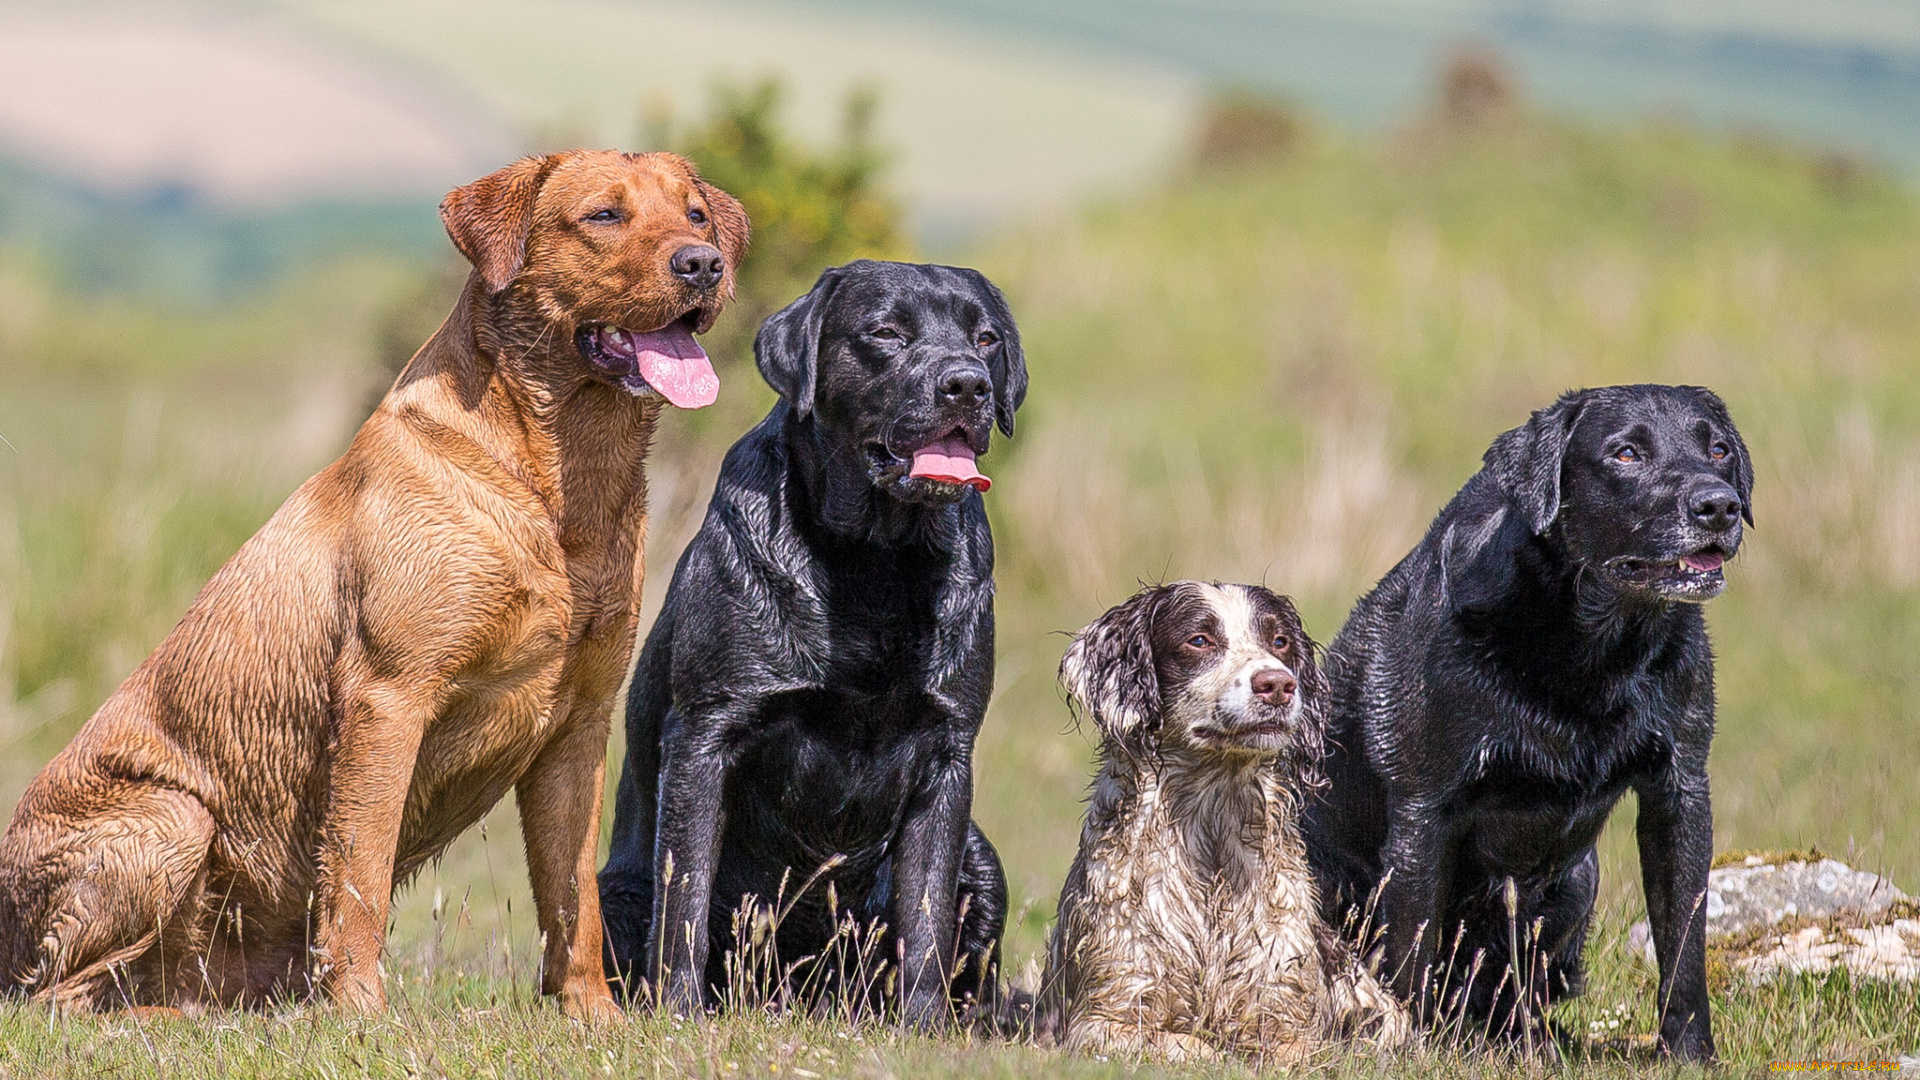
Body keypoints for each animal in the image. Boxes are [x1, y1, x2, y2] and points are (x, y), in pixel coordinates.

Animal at [0, 151, 744, 1014]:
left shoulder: (580, 727)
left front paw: (594, 1016)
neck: (559, 489)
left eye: (696, 214)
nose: (704, 264)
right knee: (59, 994)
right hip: (173, 818)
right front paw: (360, 1012)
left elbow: (574, 901)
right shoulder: (387, 699)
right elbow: (360, 876)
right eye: (604, 216)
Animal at [599, 255, 1029, 1022]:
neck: (875, 563)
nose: (967, 384)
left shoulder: (949, 752)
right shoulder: (705, 733)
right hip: (610, 891)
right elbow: (686, 898)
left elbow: (926, 916)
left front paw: (923, 1028)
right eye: (885, 333)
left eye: (984, 339)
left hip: (983, 860)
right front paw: (677, 1014)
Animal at [1305, 382, 1758, 1053]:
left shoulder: (1679, 793)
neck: (1590, 648)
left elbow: (1683, 951)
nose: (1718, 506)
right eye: (1626, 453)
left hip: (1577, 880)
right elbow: (1411, 957)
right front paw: (1409, 1049)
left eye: (1719, 449)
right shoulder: (1422, 814)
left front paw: (1690, 1056)